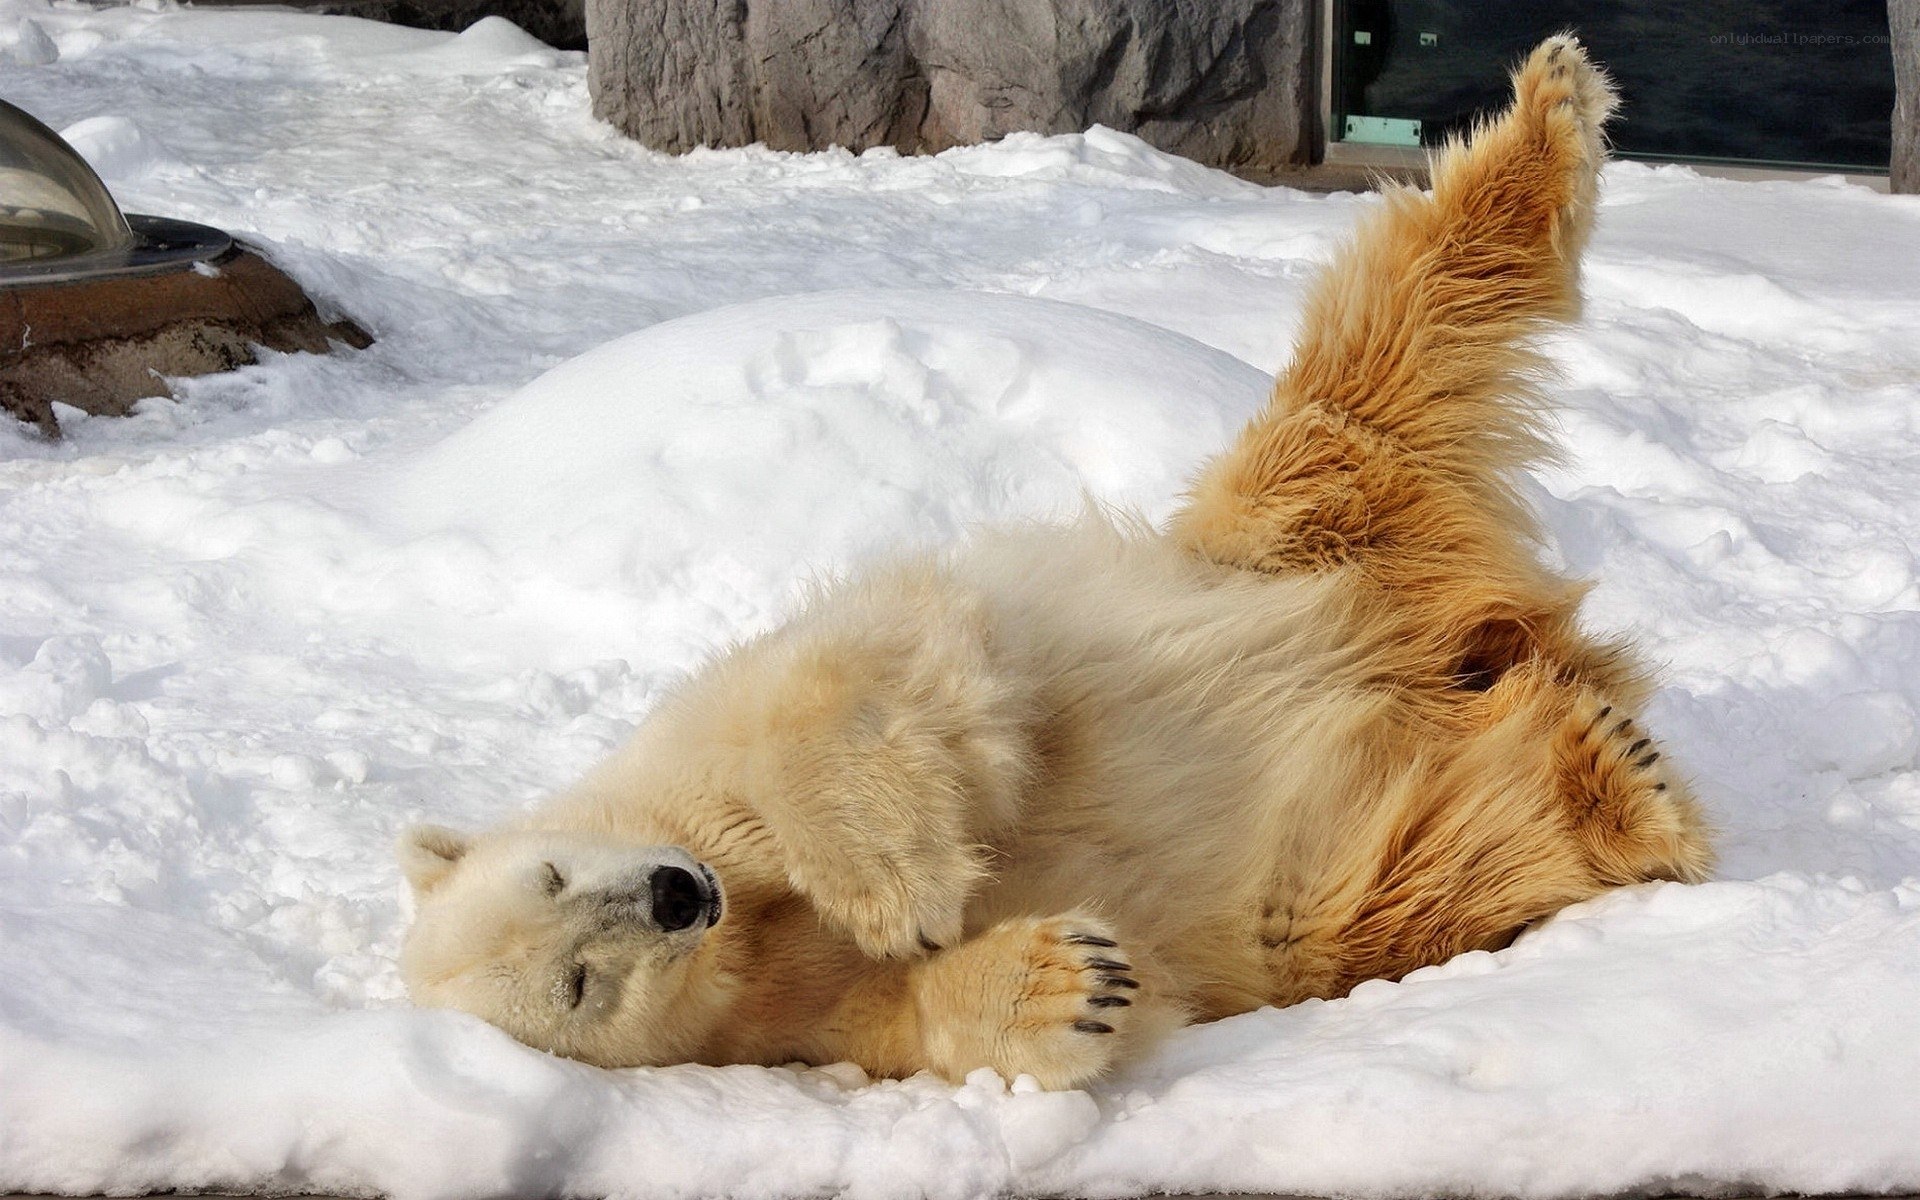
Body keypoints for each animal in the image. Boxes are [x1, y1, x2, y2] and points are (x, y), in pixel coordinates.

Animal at [397, 36, 1712, 1091]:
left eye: (552, 874)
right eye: (577, 983)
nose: (673, 898)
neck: (744, 910)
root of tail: (1471, 638)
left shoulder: (715, 748)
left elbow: (854, 674)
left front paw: (900, 882)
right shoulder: (771, 1024)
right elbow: (908, 1018)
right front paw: (1064, 980)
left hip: (1291, 534)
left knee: (1383, 361)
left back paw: (1549, 111)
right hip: (1333, 841)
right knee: (1429, 855)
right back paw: (1614, 783)